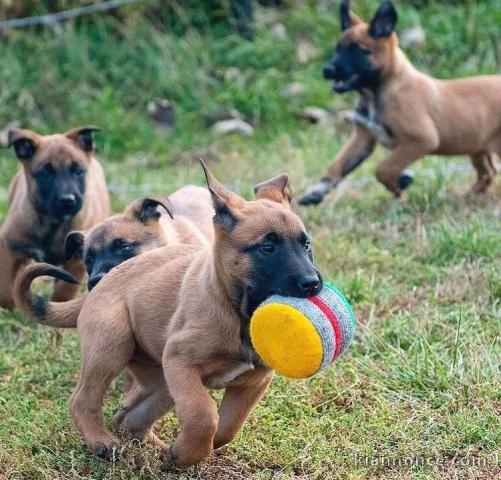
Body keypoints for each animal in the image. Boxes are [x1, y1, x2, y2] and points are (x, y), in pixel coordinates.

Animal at [0, 126, 109, 308]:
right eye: (45, 173)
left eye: (78, 172)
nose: (67, 200)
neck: (52, 222)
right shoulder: (8, 246)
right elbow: (5, 291)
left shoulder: (75, 262)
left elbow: (63, 292)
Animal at [63, 161, 320, 464]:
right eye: (267, 248)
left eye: (306, 245)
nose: (313, 283)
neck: (237, 313)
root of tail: (100, 281)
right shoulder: (180, 362)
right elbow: (203, 414)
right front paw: (188, 454)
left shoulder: (253, 381)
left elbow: (227, 427)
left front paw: (184, 452)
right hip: (111, 347)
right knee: (82, 400)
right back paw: (101, 442)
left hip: (159, 377)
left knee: (129, 417)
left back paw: (158, 449)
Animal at [298, 0, 498, 204]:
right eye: (338, 48)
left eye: (358, 51)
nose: (327, 70)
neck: (378, 91)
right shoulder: (363, 138)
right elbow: (338, 165)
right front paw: (317, 190)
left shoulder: (421, 140)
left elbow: (384, 169)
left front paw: (399, 185)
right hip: (477, 146)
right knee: (488, 172)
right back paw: (468, 196)